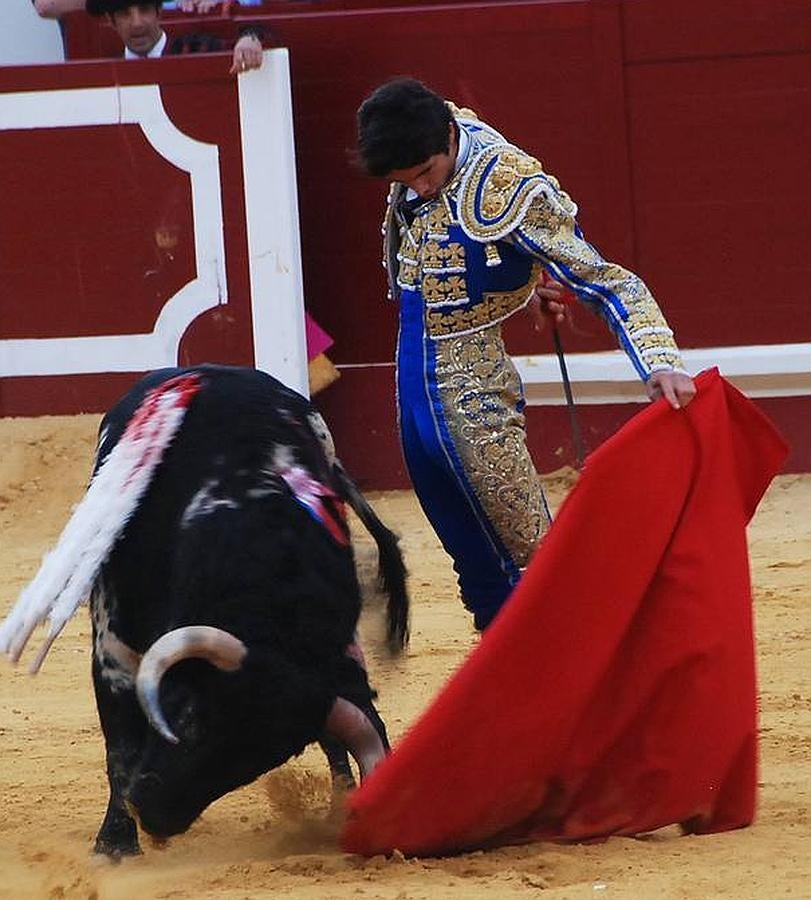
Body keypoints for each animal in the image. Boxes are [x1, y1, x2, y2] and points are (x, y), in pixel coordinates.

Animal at [0, 364, 410, 856]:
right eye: (187, 718)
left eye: (255, 761)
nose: (152, 815)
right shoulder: (112, 650)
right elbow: (120, 747)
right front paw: (114, 844)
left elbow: (335, 733)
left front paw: (338, 811)